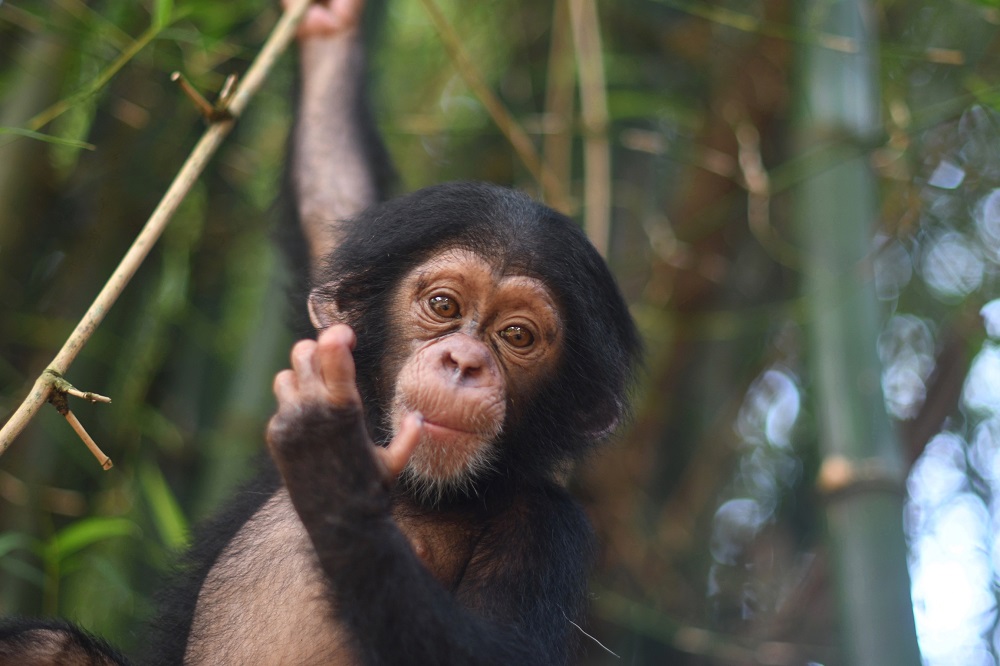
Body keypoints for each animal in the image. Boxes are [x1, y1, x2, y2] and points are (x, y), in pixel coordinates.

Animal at [0, 1, 641, 664]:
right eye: (443, 304)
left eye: (518, 337)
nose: (464, 360)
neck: (424, 491)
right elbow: (331, 203)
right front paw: (332, 32)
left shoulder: (548, 529)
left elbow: (497, 650)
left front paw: (335, 472)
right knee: (43, 645)